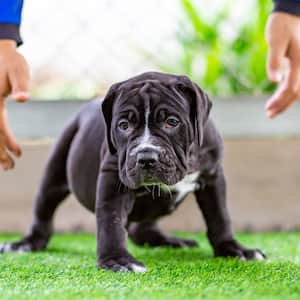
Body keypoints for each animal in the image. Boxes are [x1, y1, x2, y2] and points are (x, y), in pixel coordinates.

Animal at [1, 72, 266, 272]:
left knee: (142, 226)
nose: (146, 157)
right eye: (123, 126)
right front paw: (117, 260)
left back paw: (170, 241)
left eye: (172, 122)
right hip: (54, 173)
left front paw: (235, 249)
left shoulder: (212, 177)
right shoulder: (113, 180)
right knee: (44, 211)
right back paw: (25, 244)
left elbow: (220, 217)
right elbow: (111, 221)